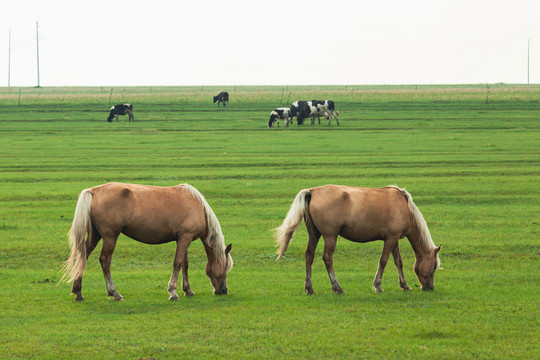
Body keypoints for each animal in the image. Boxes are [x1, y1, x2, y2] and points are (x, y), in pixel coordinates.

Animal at [61, 183, 234, 300]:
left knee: (83, 255)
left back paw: (78, 291)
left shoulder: (183, 239)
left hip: (96, 235)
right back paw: (114, 293)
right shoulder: (185, 238)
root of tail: (93, 191)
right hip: (110, 236)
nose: (223, 290)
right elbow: (177, 263)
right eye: (225, 268)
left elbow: (184, 264)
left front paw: (188, 290)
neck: (198, 207)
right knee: (105, 260)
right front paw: (173, 292)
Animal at [276, 184, 440, 294]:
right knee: (327, 258)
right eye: (433, 266)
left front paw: (404, 285)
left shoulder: (394, 239)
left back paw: (309, 288)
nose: (430, 287)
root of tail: (312, 191)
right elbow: (383, 261)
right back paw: (337, 287)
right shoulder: (391, 239)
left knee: (309, 256)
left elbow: (398, 262)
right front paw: (377, 286)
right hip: (330, 236)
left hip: (314, 234)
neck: (404, 206)